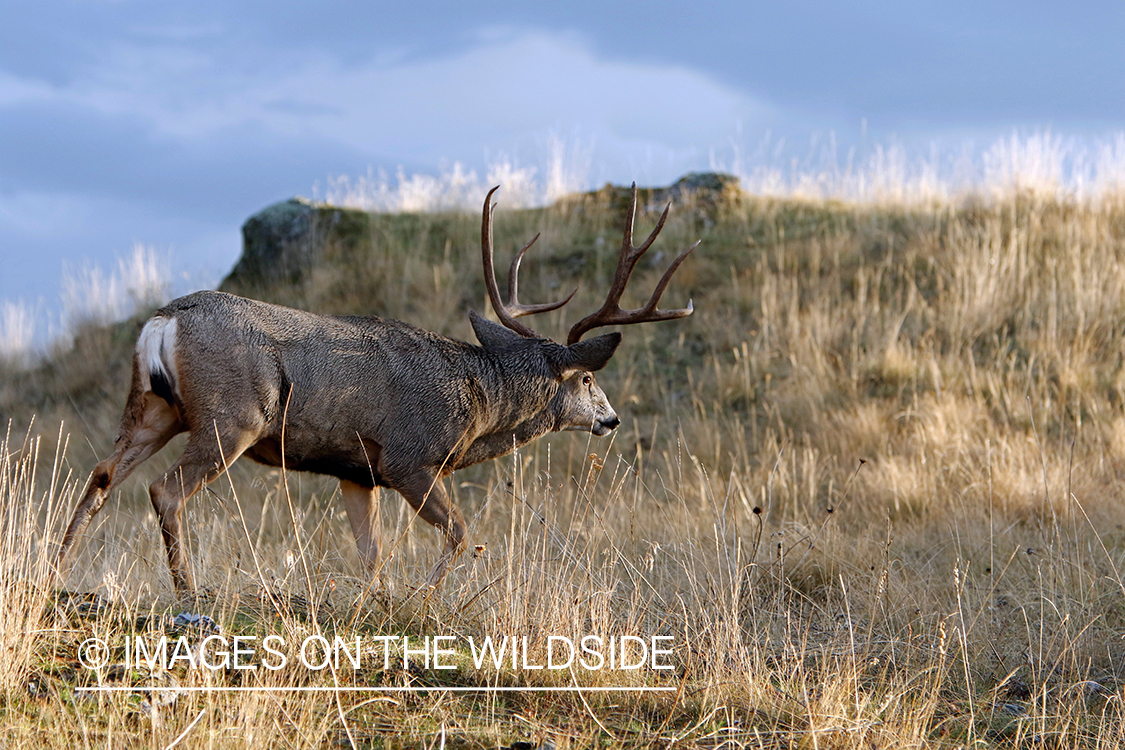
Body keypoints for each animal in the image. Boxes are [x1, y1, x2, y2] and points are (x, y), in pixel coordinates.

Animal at [54, 184, 698, 592]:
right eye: (588, 378)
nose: (611, 419)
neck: (477, 402)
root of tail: (165, 320)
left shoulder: (355, 472)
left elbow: (372, 555)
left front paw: (377, 603)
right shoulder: (409, 460)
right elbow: (461, 534)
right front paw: (423, 600)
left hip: (155, 407)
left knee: (102, 474)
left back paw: (58, 570)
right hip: (229, 416)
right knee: (164, 490)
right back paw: (190, 590)